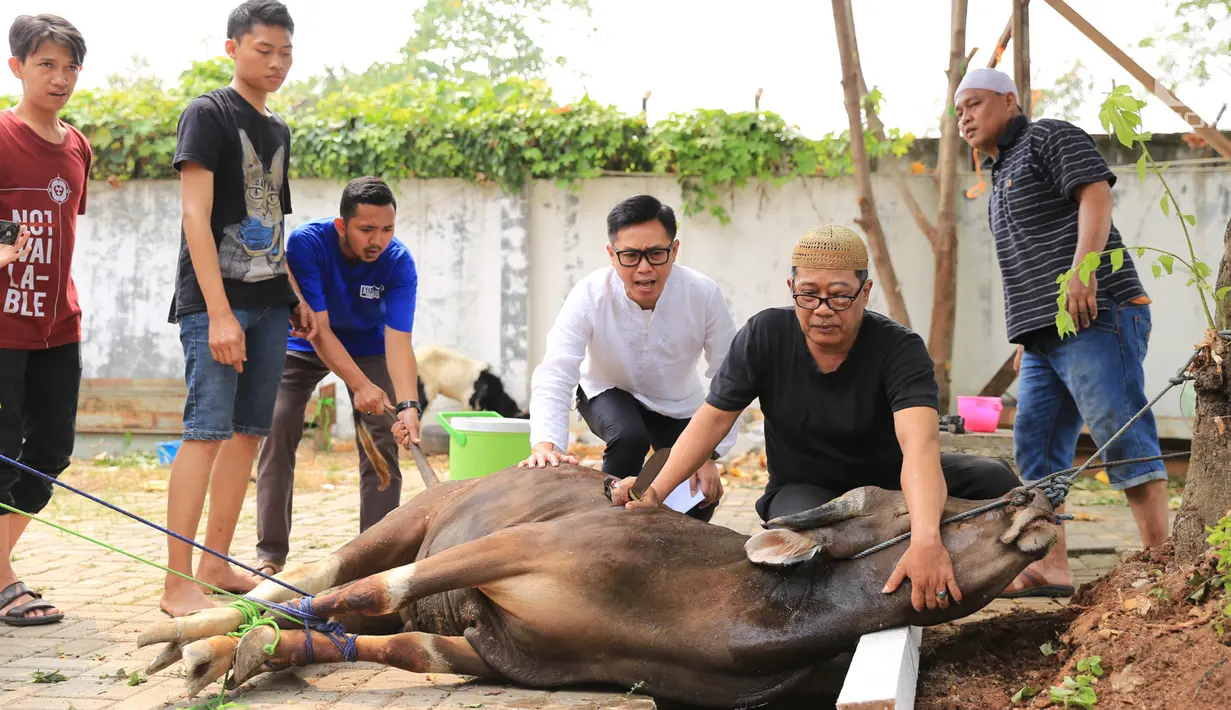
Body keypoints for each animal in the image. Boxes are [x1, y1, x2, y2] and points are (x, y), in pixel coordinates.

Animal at [134, 462, 1058, 703]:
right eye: (906, 501)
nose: (1033, 496)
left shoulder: (485, 653)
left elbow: (378, 639)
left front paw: (249, 656)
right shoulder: (508, 554)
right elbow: (371, 594)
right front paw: (193, 647)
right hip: (403, 521)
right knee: (311, 577)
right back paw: (186, 630)